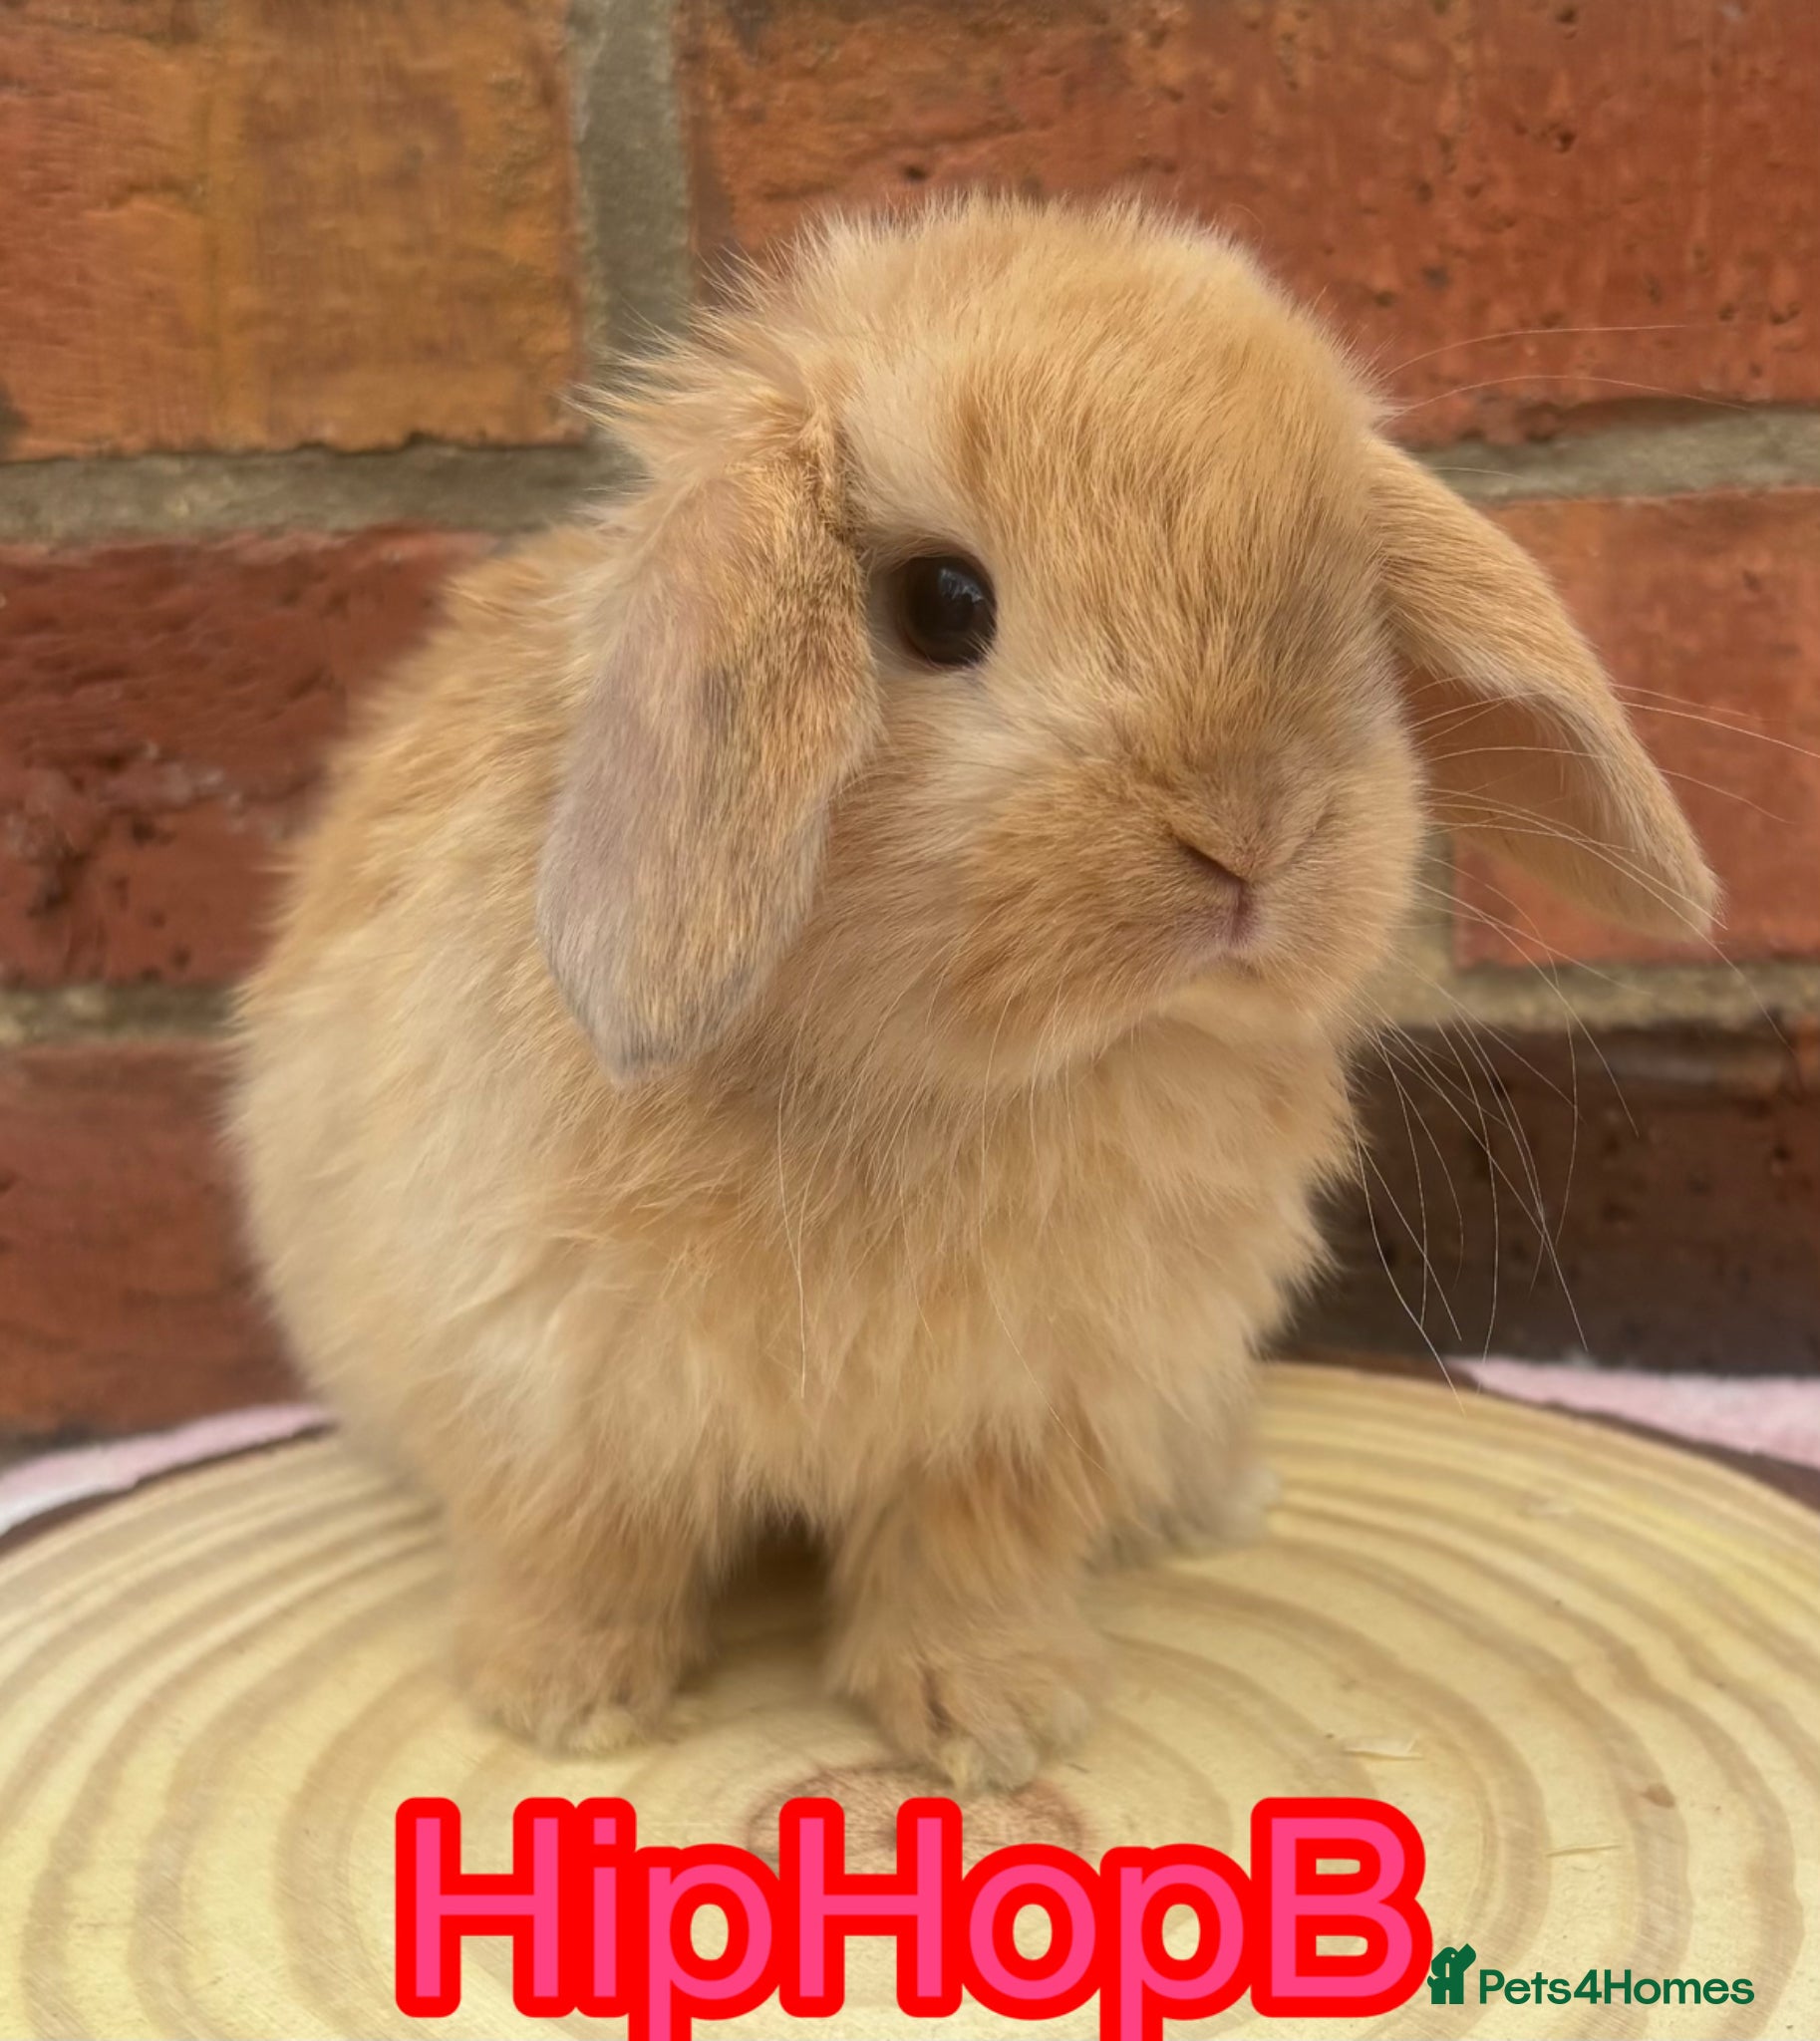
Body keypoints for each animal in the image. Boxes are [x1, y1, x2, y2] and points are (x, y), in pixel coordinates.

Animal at [232, 196, 1713, 1791]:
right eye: (943, 604)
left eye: (1354, 609)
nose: (1251, 832)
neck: (938, 1076)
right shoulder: (544, 1380)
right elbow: (582, 1546)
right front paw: (566, 1704)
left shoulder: (1024, 1413)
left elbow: (965, 1567)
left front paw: (999, 1724)